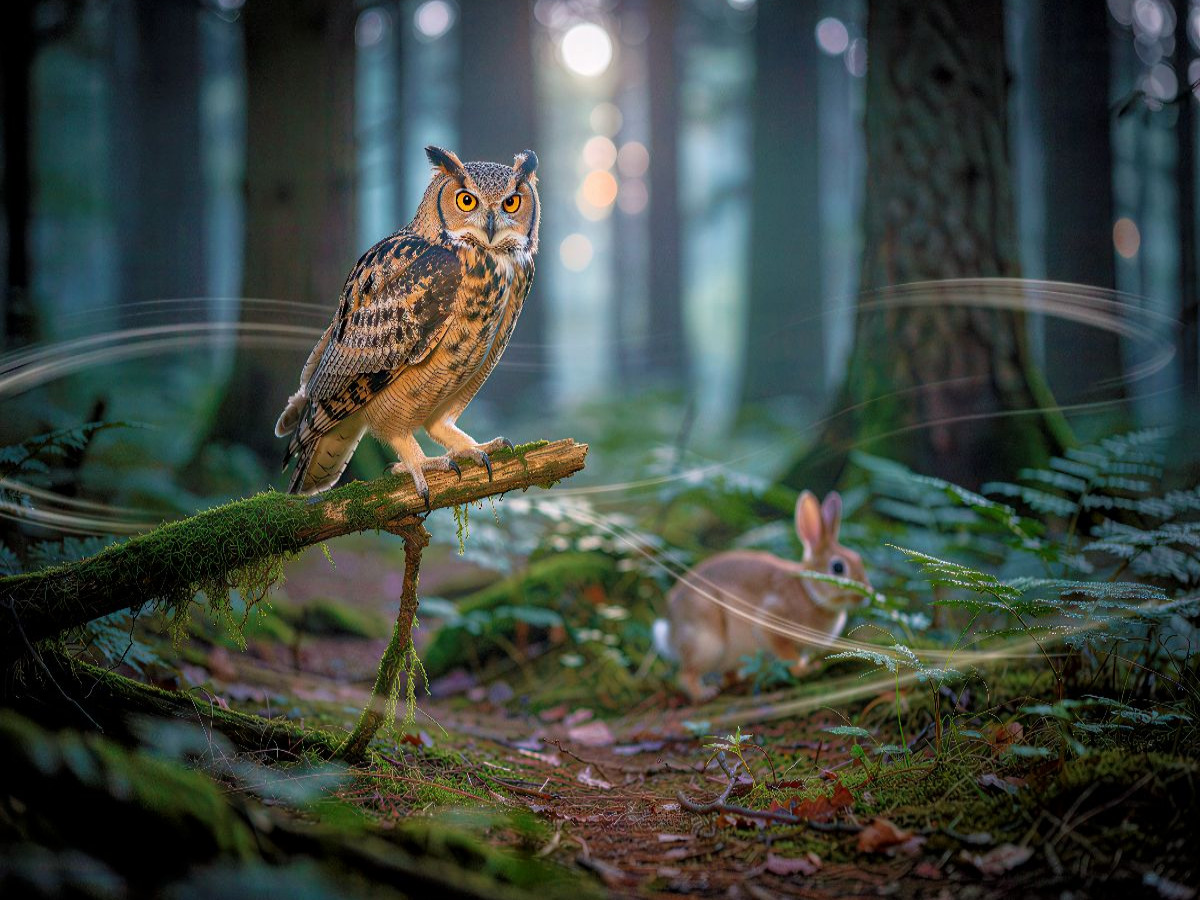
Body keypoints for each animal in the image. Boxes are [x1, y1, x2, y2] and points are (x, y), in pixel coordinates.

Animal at [653, 490, 871, 703]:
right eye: (838, 568)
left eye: (858, 558)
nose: (867, 596)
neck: (809, 592)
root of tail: (670, 632)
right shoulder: (773, 622)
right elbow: (786, 654)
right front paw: (803, 670)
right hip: (707, 643)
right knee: (685, 674)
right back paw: (704, 693)